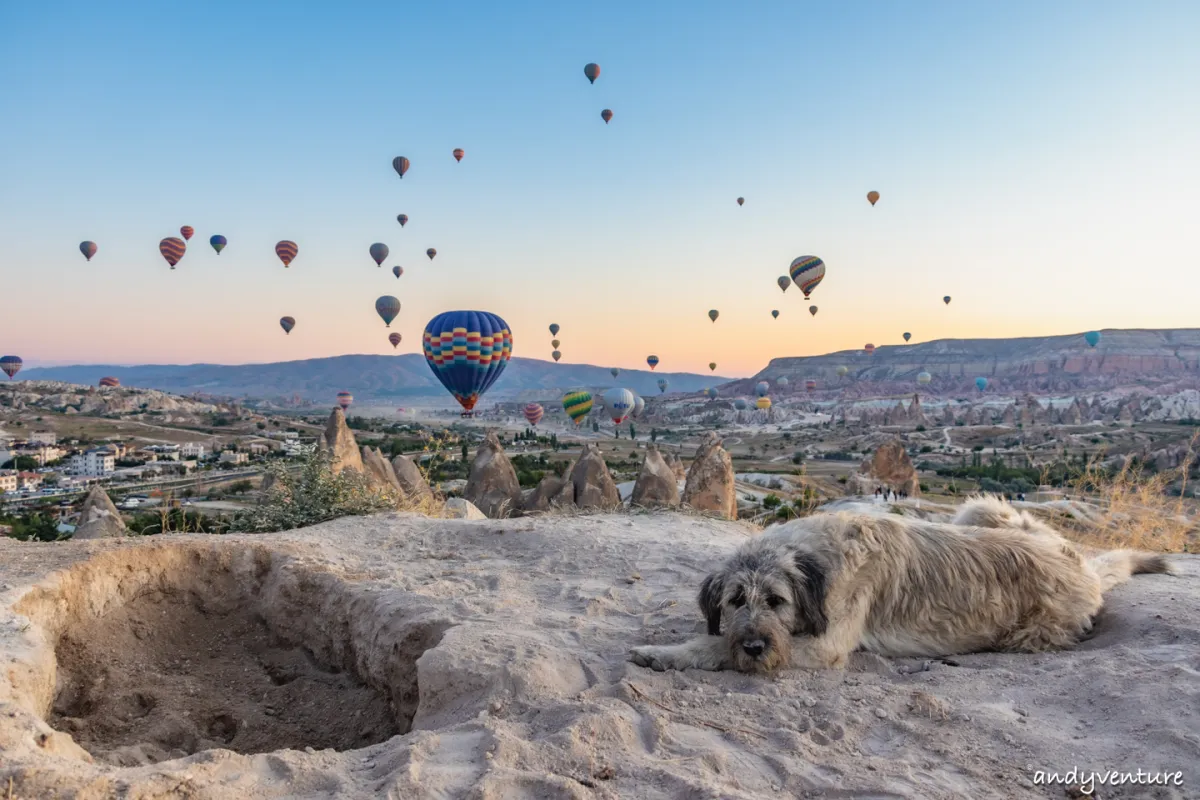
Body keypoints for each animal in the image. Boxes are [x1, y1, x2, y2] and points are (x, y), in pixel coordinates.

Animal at [628, 494, 1171, 676]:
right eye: (736, 600)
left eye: (777, 601)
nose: (755, 645)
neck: (818, 557)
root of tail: (1083, 566)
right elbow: (718, 640)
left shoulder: (823, 645)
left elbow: (713, 647)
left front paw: (665, 653)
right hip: (983, 509)